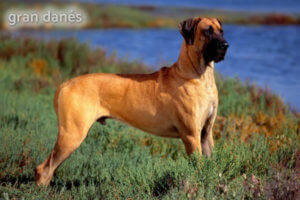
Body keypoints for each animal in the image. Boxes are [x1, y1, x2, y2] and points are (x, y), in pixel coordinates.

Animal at [35, 17, 229, 186]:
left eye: (221, 31)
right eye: (207, 31)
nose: (226, 45)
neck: (200, 76)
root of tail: (66, 83)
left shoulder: (205, 134)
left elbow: (212, 165)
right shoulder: (191, 135)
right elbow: (199, 168)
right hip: (72, 134)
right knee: (44, 169)